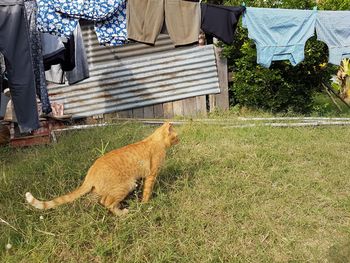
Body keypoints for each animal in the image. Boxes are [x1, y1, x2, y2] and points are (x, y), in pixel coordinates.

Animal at [25, 122, 178, 216]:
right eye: (176, 136)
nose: (180, 139)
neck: (154, 141)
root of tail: (90, 172)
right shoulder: (152, 175)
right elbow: (147, 191)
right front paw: (146, 203)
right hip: (126, 185)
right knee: (106, 202)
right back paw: (122, 213)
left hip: (98, 191)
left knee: (92, 200)